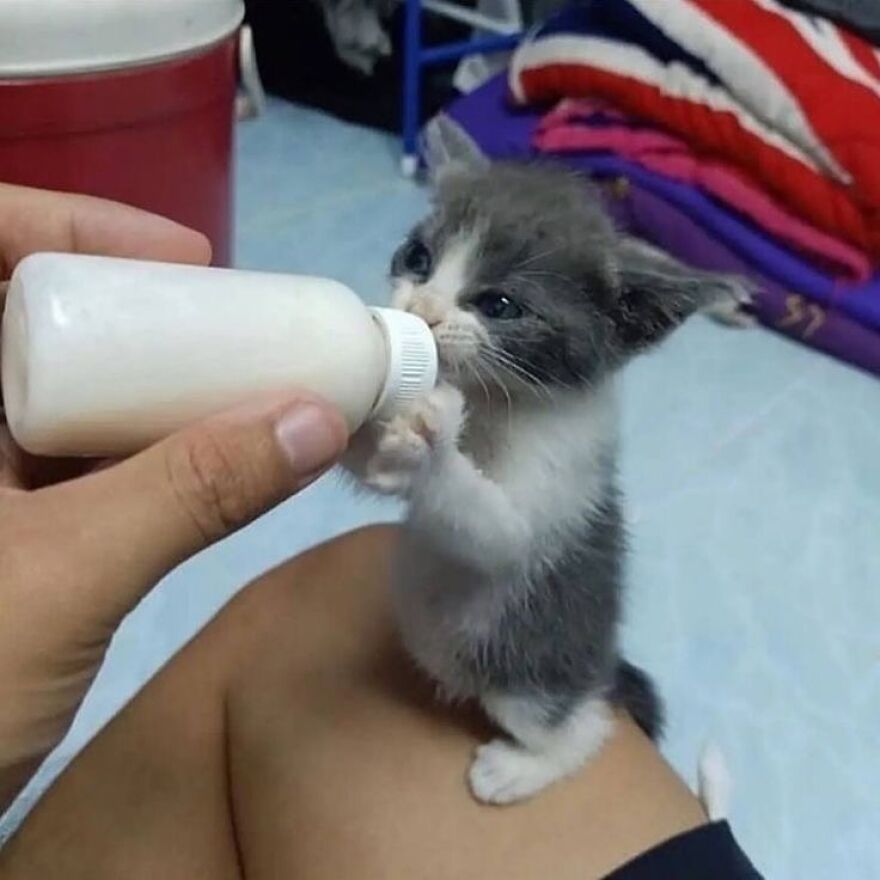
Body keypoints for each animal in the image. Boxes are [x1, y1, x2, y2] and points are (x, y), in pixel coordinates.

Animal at [344, 141, 744, 800]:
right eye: (419, 258)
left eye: (500, 305)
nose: (420, 309)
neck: (495, 399)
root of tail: (603, 667)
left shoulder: (558, 469)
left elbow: (501, 536)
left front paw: (431, 447)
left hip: (527, 674)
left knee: (587, 727)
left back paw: (519, 768)